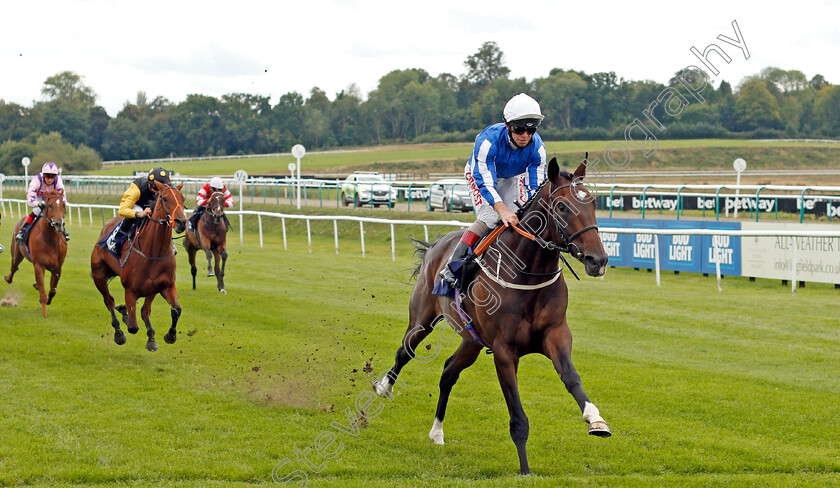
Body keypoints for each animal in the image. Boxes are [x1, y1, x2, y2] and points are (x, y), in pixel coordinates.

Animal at [4, 189, 67, 318]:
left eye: (63, 205)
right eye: (50, 205)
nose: (59, 224)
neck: (50, 239)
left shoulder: (57, 268)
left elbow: (52, 290)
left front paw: (47, 299)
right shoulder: (39, 265)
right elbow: (43, 293)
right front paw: (44, 314)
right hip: (16, 254)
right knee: (14, 268)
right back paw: (8, 278)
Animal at [91, 183, 188, 350]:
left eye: (183, 198)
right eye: (164, 198)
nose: (182, 222)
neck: (153, 252)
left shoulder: (162, 286)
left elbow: (173, 310)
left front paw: (166, 336)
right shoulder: (130, 290)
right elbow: (133, 326)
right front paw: (126, 319)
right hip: (99, 276)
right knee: (109, 301)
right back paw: (119, 332)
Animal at [374, 158, 612, 474]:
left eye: (593, 202)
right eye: (562, 206)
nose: (598, 260)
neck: (526, 273)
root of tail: (436, 245)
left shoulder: (556, 334)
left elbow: (571, 377)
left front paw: (595, 419)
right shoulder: (503, 350)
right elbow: (518, 418)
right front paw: (525, 471)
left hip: (472, 341)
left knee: (448, 372)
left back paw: (437, 433)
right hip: (422, 319)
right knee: (405, 351)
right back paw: (383, 387)